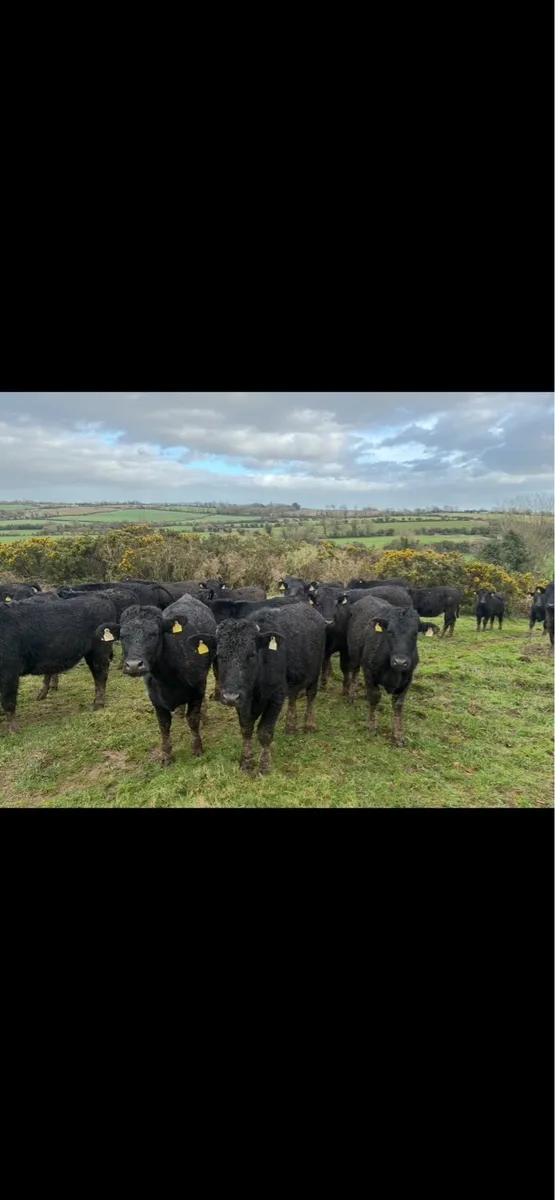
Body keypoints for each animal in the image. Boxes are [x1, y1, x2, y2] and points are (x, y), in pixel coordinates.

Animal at [0, 592, 117, 732]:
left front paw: (14, 730)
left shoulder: (9, 671)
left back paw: (97, 705)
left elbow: (8, 701)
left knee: (100, 675)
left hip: (99, 651)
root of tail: (101, 597)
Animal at [98, 596, 217, 767]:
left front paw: (197, 749)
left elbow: (193, 719)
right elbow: (164, 725)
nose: (133, 665)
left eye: (154, 634)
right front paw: (166, 756)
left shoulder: (197, 690)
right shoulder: (155, 698)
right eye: (123, 636)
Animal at [213, 602, 327, 774]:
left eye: (252, 655)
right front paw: (246, 761)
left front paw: (264, 765)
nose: (230, 697)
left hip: (315, 673)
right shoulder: (243, 701)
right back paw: (290, 726)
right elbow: (246, 729)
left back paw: (309, 724)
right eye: (220, 655)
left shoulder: (275, 697)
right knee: (293, 697)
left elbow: (264, 733)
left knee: (310, 696)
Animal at [346, 594, 421, 746]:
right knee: (355, 673)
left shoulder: (408, 678)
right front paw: (371, 725)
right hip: (354, 656)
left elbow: (398, 705)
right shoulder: (369, 672)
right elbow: (374, 697)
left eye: (415, 633)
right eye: (390, 632)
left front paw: (398, 735)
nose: (400, 662)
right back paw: (352, 695)